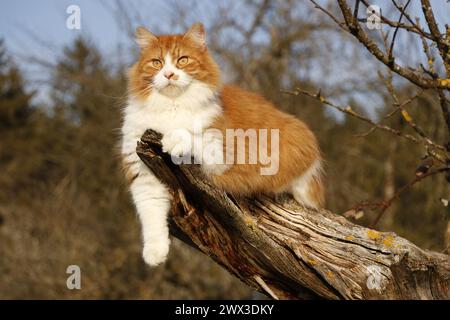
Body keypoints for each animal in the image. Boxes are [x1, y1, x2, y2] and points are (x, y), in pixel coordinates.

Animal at [119, 22, 324, 266]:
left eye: (182, 60)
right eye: (157, 62)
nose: (169, 74)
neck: (172, 106)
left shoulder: (224, 152)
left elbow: (191, 137)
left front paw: (174, 139)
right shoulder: (142, 173)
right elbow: (151, 215)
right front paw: (155, 253)